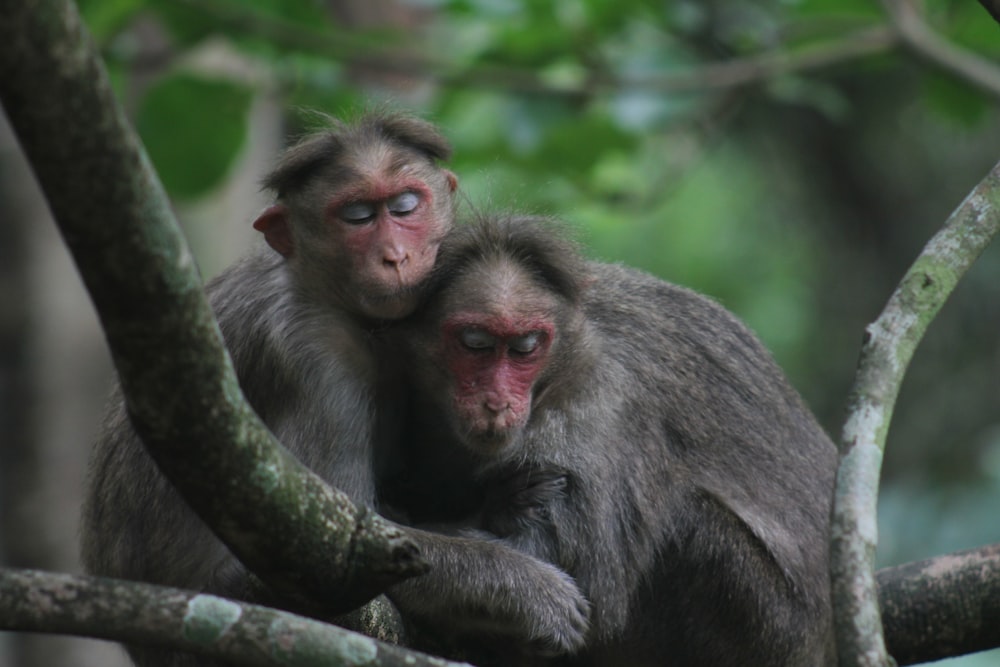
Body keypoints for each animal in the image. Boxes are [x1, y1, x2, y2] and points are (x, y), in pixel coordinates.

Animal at [82, 117, 588, 664]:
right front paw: (528, 591)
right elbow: (337, 550)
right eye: (357, 217)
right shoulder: (318, 357)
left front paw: (502, 503)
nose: (395, 257)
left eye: (405, 205)